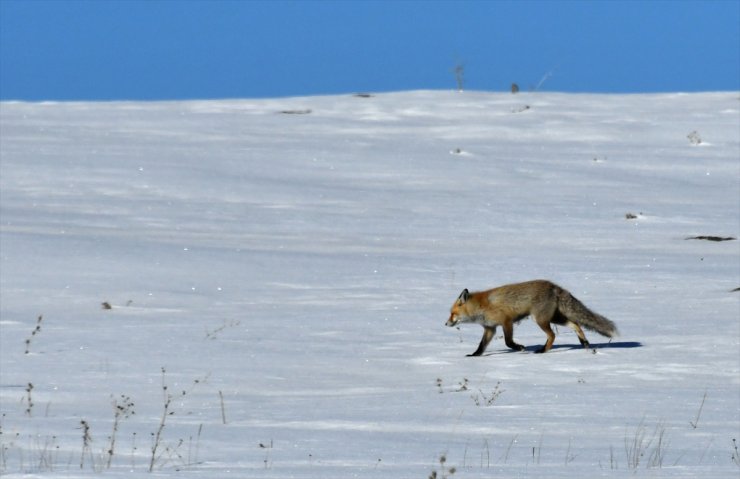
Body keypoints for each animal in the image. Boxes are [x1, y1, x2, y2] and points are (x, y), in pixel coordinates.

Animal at [448, 280, 616, 354]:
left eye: (452, 314)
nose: (446, 323)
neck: (481, 306)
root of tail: (554, 286)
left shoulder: (506, 321)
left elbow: (508, 342)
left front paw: (519, 348)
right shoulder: (490, 328)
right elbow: (482, 345)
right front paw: (474, 355)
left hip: (540, 320)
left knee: (553, 335)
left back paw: (543, 350)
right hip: (554, 318)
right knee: (576, 324)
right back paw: (584, 343)